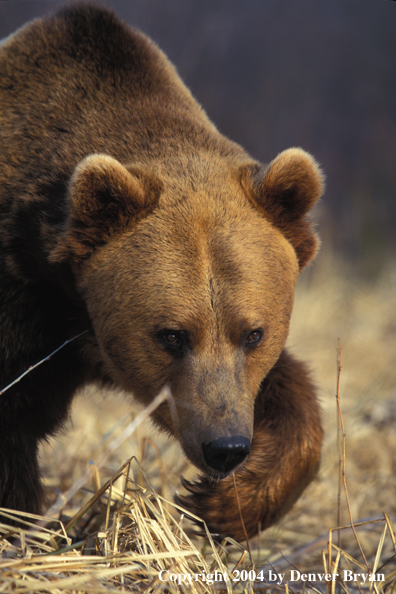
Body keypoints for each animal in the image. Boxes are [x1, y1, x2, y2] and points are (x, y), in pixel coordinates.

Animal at [0, 2, 324, 540]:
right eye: (171, 335)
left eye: (254, 333)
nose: (226, 447)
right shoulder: (23, 303)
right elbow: (13, 427)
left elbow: (287, 389)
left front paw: (226, 500)